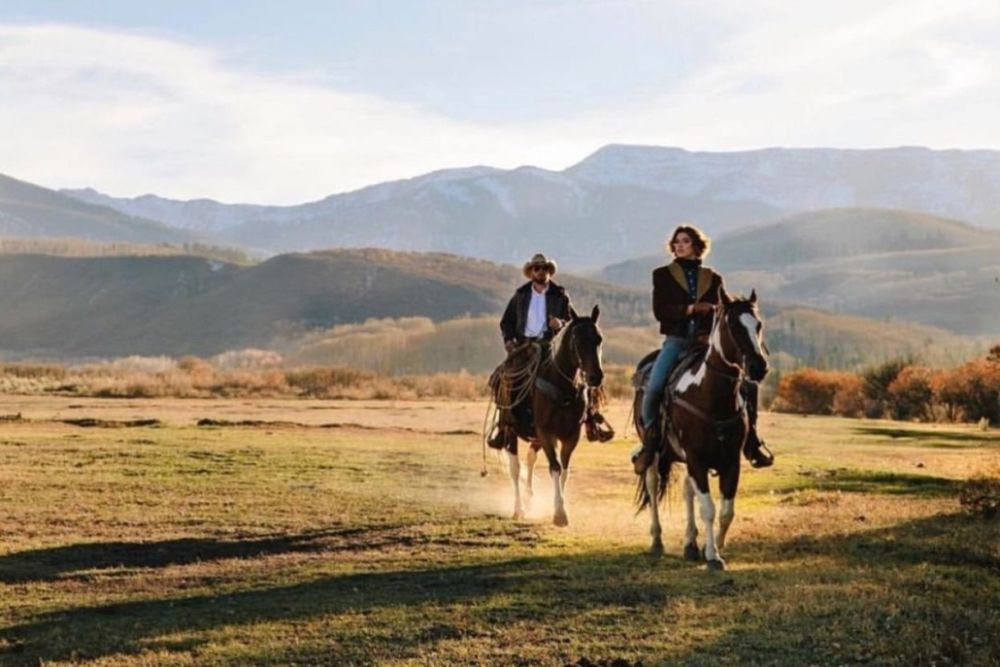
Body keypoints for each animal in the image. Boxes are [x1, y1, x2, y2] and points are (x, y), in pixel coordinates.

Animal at [504, 304, 604, 528]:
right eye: (578, 340)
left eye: (599, 339)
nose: (596, 377)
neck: (562, 386)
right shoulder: (546, 432)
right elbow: (555, 467)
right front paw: (559, 513)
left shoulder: (571, 435)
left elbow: (565, 469)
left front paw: (560, 507)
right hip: (511, 430)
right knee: (514, 468)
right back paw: (518, 508)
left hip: (535, 437)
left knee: (530, 458)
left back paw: (529, 498)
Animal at [632, 290, 764, 568]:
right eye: (734, 326)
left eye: (758, 325)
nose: (759, 367)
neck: (711, 396)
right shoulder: (697, 460)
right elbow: (709, 509)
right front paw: (713, 556)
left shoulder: (730, 462)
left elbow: (726, 511)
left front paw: (712, 547)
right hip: (656, 454)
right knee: (652, 485)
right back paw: (657, 541)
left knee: (687, 491)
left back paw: (690, 544)